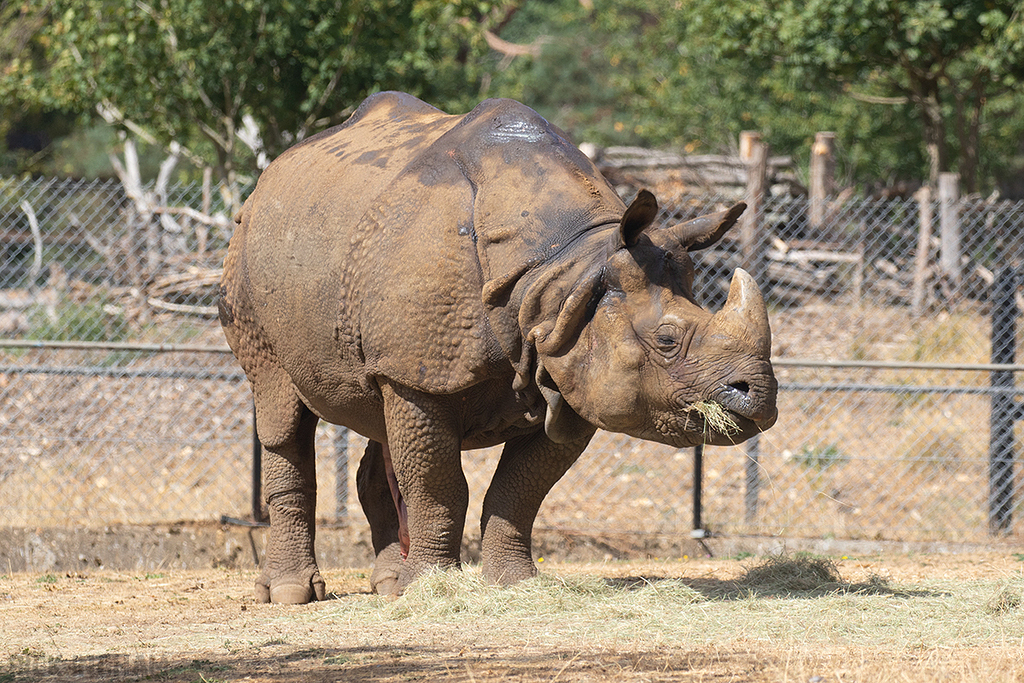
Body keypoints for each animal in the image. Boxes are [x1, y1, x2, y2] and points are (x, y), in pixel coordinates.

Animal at [219, 92, 777, 603]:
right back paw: (291, 594)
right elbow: (439, 485)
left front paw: (513, 584)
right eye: (666, 341)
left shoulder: (563, 365)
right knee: (280, 406)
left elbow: (520, 488)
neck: (565, 272)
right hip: (248, 260)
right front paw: (432, 589)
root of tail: (272, 173)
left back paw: (387, 587)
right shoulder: (422, 374)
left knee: (378, 419)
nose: (761, 396)